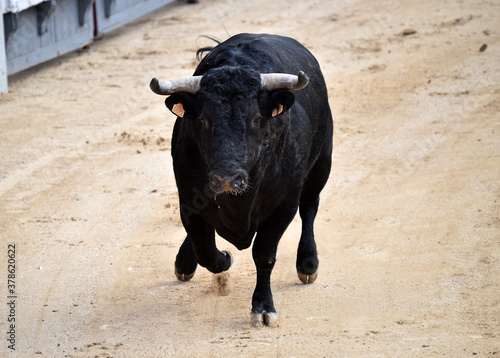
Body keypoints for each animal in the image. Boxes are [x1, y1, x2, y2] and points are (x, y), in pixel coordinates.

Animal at [150, 33, 334, 328]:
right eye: (202, 120)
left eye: (257, 119)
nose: (228, 179)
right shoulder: (188, 201)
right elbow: (206, 250)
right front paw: (224, 258)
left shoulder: (283, 207)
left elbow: (264, 255)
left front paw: (263, 307)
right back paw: (184, 263)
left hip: (321, 165)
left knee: (310, 208)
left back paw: (307, 263)